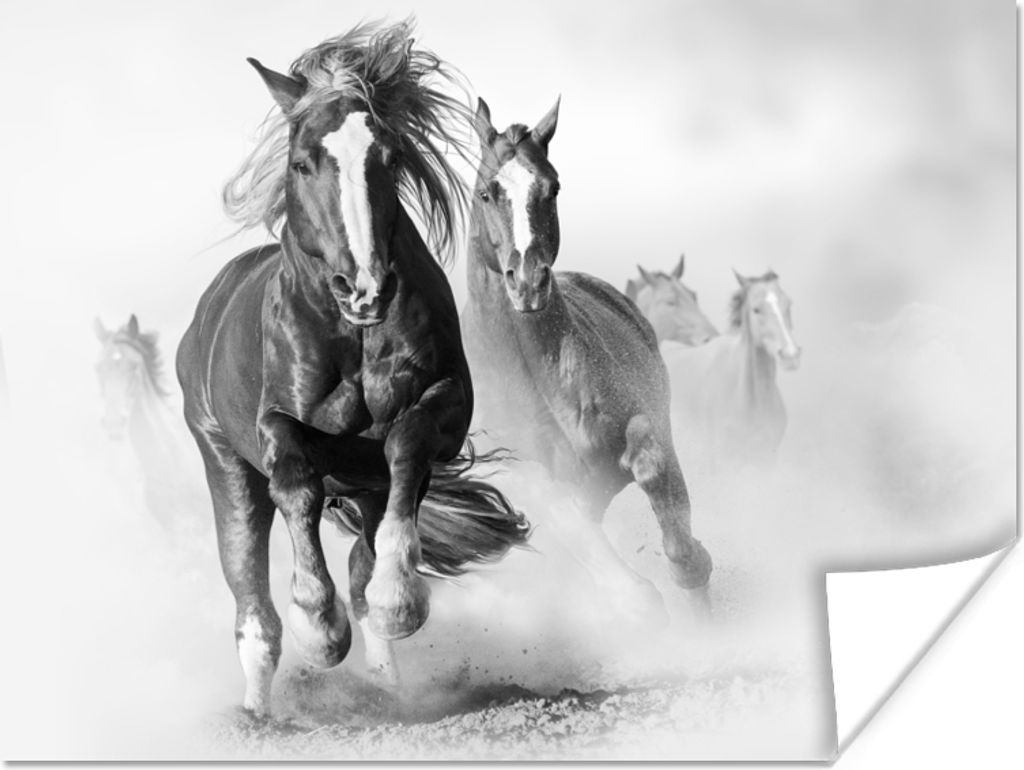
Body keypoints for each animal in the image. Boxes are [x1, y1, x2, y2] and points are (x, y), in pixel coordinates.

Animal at [176, 21, 528, 716]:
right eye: (301, 162)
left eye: (388, 158)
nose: (363, 287)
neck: (354, 336)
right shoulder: (275, 425)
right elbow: (295, 480)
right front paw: (319, 627)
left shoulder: (443, 407)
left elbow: (406, 447)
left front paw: (399, 600)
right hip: (222, 463)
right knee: (251, 601)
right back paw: (258, 711)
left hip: (362, 486)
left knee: (363, 557)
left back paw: (388, 683)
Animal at [460, 97, 712, 623]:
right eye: (487, 192)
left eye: (552, 187)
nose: (528, 282)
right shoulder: (538, 489)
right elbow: (617, 578)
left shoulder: (646, 428)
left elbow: (658, 479)